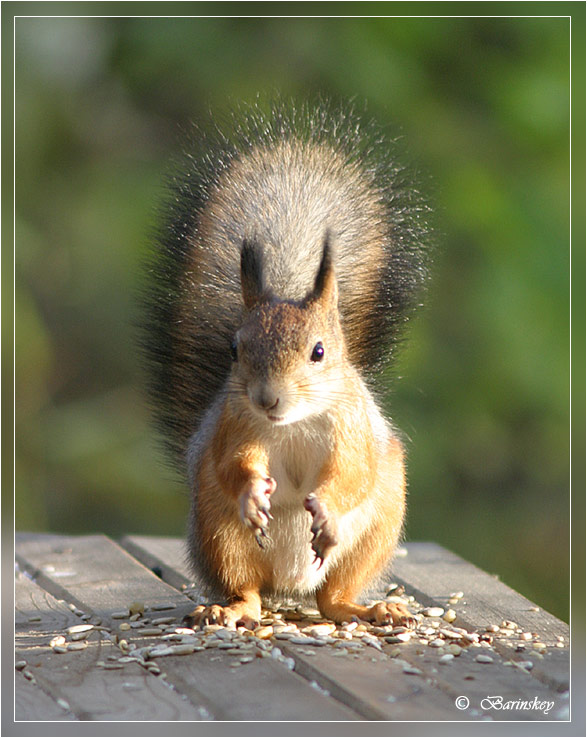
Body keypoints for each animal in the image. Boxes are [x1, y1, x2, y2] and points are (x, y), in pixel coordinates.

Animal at [140, 98, 430, 628]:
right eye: (235, 349)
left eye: (319, 351)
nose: (267, 399)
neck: (294, 422)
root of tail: (290, 587)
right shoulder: (234, 425)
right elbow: (231, 464)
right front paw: (254, 492)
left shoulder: (353, 426)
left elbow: (353, 472)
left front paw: (327, 507)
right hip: (220, 534)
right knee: (247, 586)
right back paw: (231, 607)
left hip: (375, 531)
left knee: (333, 595)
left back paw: (372, 606)